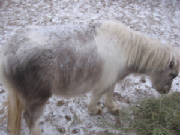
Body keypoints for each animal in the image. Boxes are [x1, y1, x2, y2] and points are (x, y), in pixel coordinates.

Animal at [0, 20, 179, 134]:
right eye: (172, 75)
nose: (166, 91)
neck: (126, 49)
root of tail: (8, 53)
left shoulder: (111, 79)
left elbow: (109, 94)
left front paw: (112, 107)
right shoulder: (103, 82)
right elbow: (98, 95)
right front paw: (95, 110)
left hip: (16, 94)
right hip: (38, 98)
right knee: (31, 119)